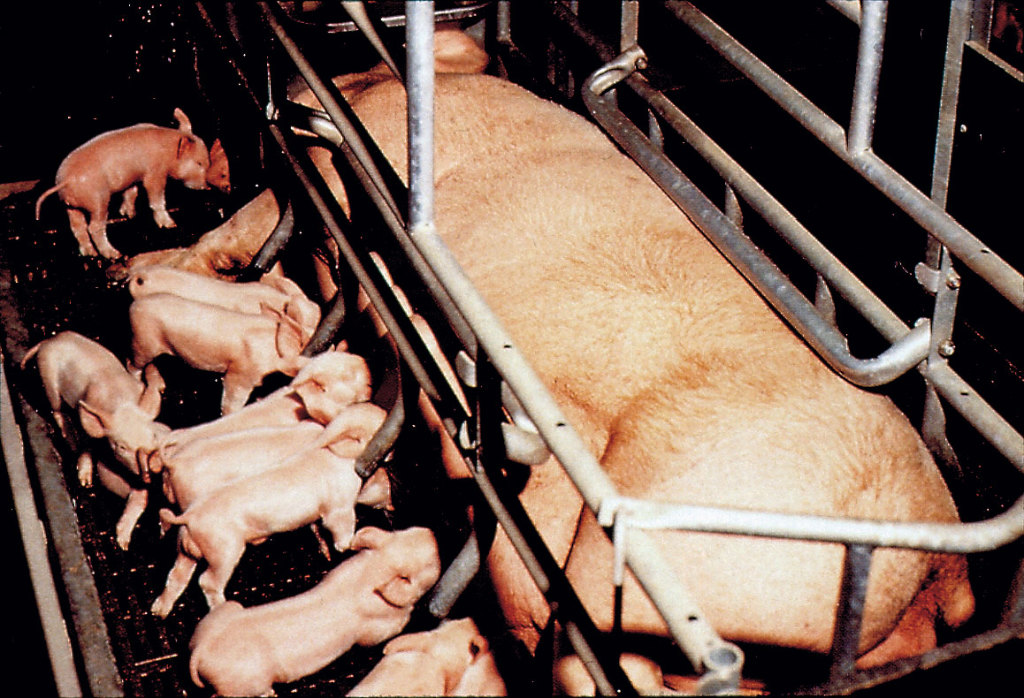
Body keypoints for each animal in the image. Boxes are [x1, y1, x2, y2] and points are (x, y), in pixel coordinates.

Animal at [34, 107, 214, 259]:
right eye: (199, 163)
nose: (207, 186)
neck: (168, 151)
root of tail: (66, 180)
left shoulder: (131, 179)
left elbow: (131, 194)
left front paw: (129, 214)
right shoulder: (155, 174)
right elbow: (156, 199)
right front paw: (170, 225)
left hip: (70, 206)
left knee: (78, 228)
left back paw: (90, 253)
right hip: (98, 200)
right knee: (94, 227)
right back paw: (114, 254)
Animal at [188, 524, 440, 691]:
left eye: (403, 532)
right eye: (429, 563)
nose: (432, 533)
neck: (372, 571)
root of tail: (201, 650)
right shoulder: (374, 630)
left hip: (227, 611)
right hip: (244, 681)